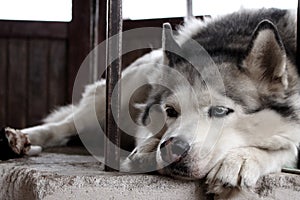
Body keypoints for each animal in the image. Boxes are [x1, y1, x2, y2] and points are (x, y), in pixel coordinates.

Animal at [1, 8, 300, 196]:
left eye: (220, 110)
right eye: (170, 110)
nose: (173, 148)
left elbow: (285, 147)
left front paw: (242, 159)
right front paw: (147, 148)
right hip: (121, 92)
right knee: (64, 125)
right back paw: (22, 139)